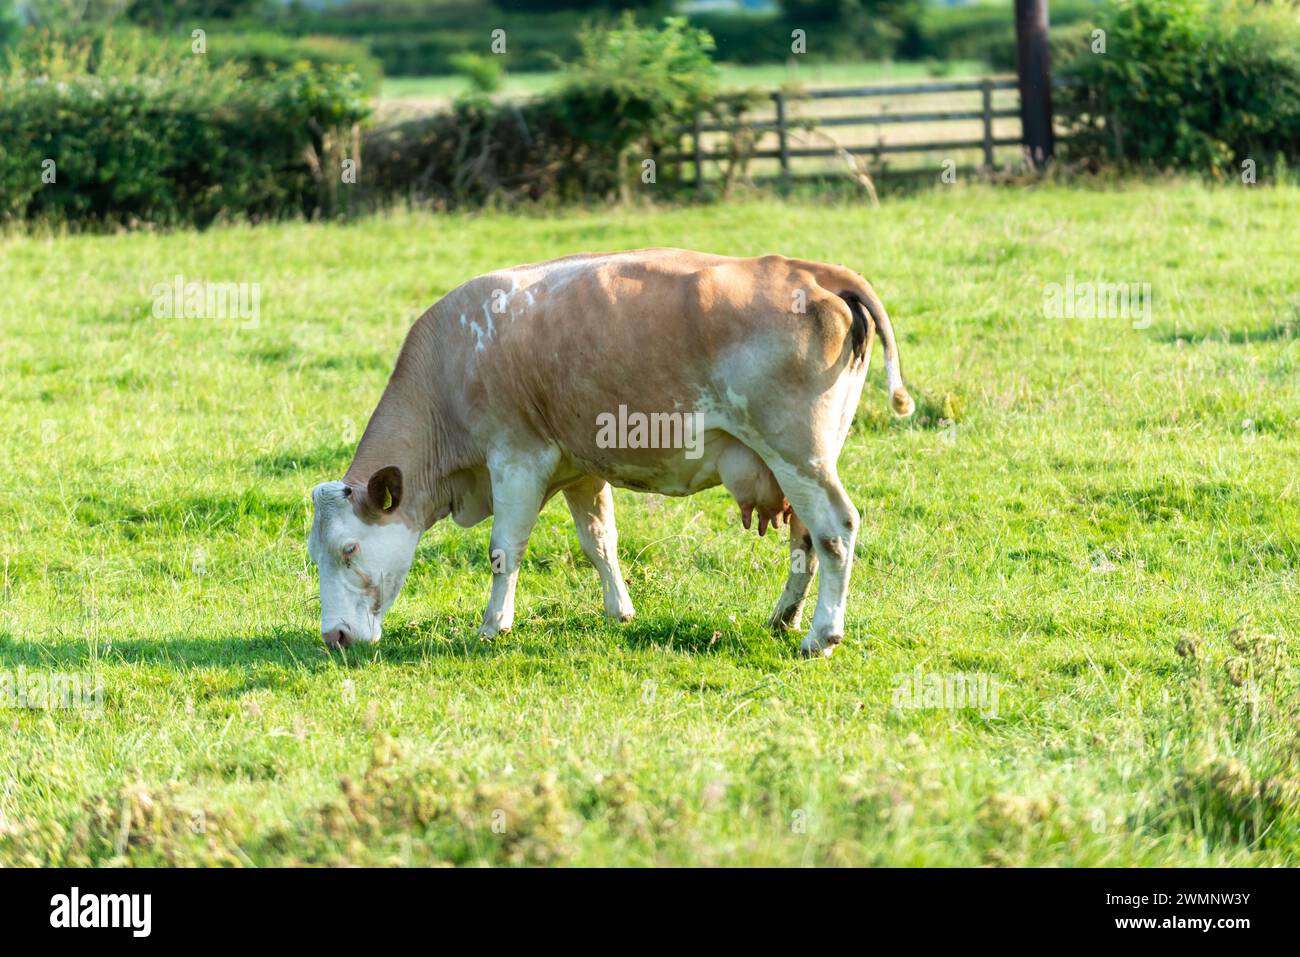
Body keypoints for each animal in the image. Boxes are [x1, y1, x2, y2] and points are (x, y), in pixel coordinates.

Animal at [307, 249, 913, 658]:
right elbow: (600, 542)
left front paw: (492, 625)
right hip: (805, 462)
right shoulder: (580, 469)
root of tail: (809, 271)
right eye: (315, 555)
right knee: (805, 541)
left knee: (836, 530)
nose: (334, 635)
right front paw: (619, 609)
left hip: (798, 454)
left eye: (348, 550)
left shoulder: (516, 459)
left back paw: (821, 634)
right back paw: (784, 618)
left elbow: (504, 550)